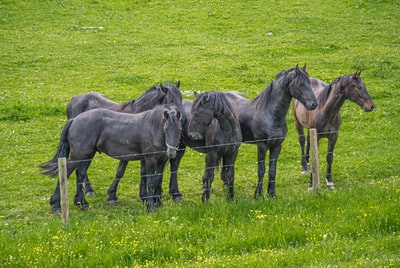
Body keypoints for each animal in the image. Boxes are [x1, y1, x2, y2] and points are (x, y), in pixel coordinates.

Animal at [38, 104, 182, 214]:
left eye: (179, 130)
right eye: (166, 129)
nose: (172, 153)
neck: (152, 129)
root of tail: (75, 119)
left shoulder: (162, 161)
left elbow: (157, 180)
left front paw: (158, 203)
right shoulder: (150, 160)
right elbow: (151, 182)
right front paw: (151, 206)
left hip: (87, 155)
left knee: (80, 174)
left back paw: (82, 203)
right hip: (77, 156)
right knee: (66, 174)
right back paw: (56, 206)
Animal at [220, 63, 318, 197]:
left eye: (309, 82)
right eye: (301, 84)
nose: (314, 104)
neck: (270, 114)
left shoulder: (277, 146)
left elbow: (272, 170)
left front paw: (272, 193)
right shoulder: (262, 145)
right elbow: (261, 170)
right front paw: (258, 194)